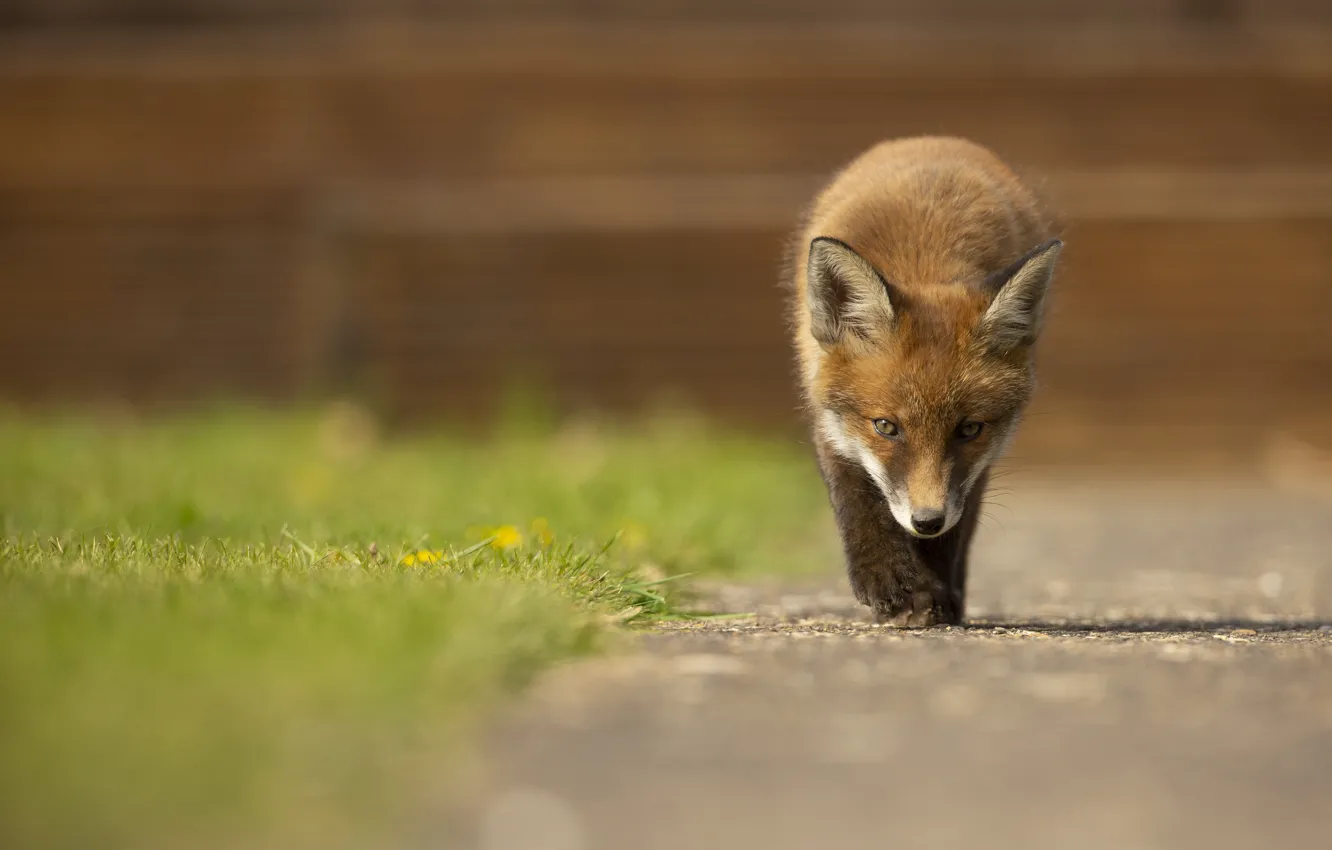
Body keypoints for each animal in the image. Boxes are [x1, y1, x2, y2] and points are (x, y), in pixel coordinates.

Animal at [788, 136, 1061, 627]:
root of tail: (935, 140)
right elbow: (857, 500)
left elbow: (955, 529)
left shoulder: (974, 467)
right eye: (885, 427)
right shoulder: (829, 415)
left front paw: (932, 593)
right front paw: (889, 583)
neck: (925, 264)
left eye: (969, 428)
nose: (927, 520)